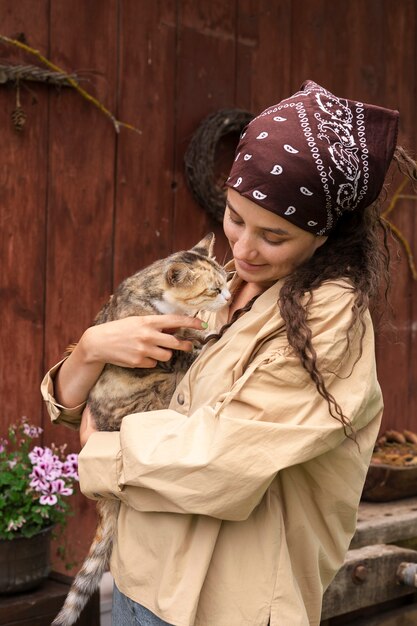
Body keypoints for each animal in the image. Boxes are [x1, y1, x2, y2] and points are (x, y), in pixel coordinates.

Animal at [52, 233, 231, 624]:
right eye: (213, 288)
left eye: (226, 281)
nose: (228, 296)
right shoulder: (147, 347)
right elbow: (180, 347)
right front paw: (202, 340)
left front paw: (206, 334)